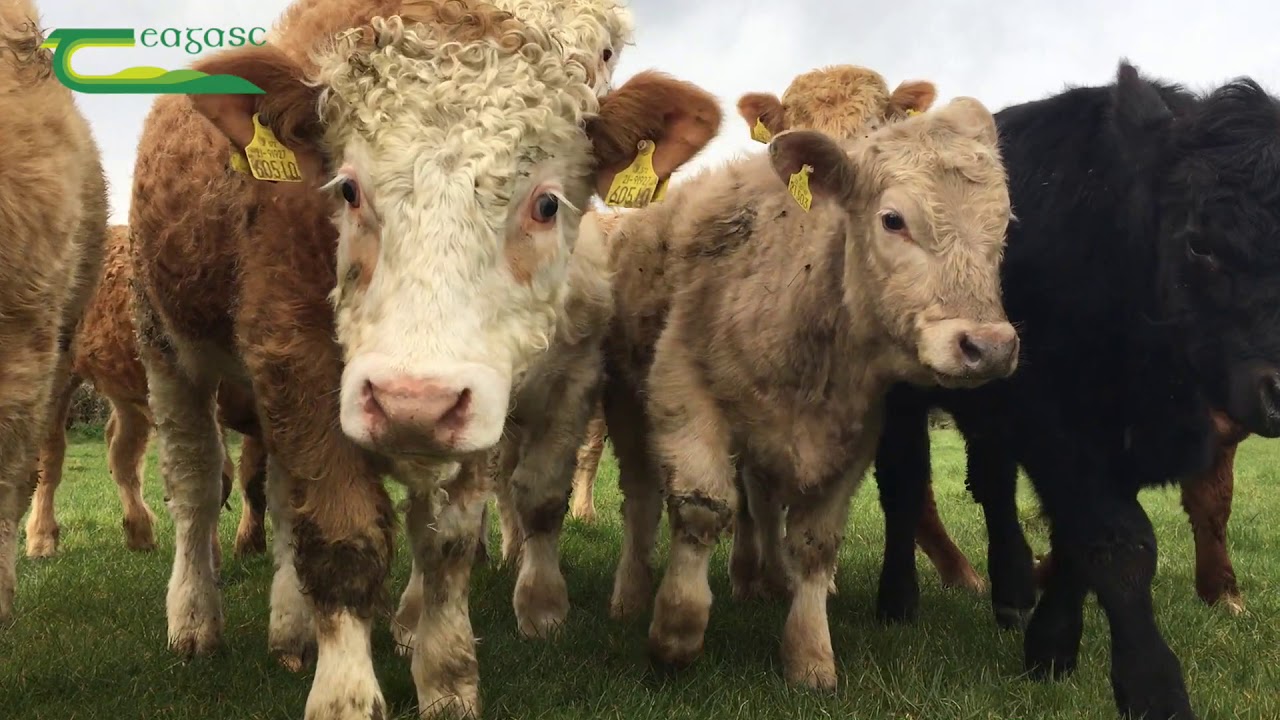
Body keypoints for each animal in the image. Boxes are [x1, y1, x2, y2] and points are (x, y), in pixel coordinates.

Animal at [25, 224, 270, 562]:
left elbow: (254, 478)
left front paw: (251, 546)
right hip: (59, 375)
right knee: (49, 457)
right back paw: (41, 539)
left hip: (130, 390)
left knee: (122, 453)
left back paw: (140, 533)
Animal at [128, 0, 718, 717]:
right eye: (347, 190)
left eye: (547, 202)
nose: (414, 400)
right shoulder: (295, 356)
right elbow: (341, 539)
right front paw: (345, 696)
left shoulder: (486, 394)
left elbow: (447, 541)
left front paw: (446, 674)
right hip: (166, 344)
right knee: (195, 485)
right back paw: (194, 620)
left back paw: (291, 627)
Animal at [601, 99, 1019, 690]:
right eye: (893, 220)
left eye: (1002, 224)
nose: (989, 346)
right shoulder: (683, 388)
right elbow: (702, 509)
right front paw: (676, 632)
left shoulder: (854, 433)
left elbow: (814, 542)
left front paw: (809, 652)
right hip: (624, 401)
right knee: (641, 499)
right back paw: (632, 594)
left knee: (759, 503)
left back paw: (765, 579)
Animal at [870, 60, 1280, 719]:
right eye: (1199, 241)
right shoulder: (1058, 425)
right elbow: (1116, 539)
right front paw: (1152, 685)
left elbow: (1074, 539)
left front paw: (1051, 645)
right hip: (904, 399)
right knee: (904, 487)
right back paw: (898, 600)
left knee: (992, 487)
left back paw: (1012, 592)